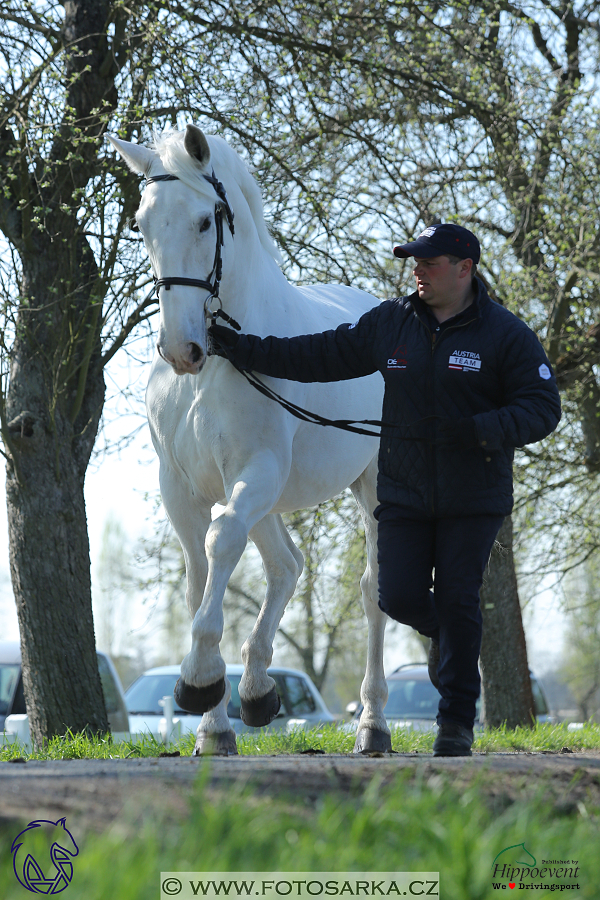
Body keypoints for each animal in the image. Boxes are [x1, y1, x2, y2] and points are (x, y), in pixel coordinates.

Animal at [107, 125, 390, 752]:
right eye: (141, 222)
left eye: (204, 221)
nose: (179, 348)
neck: (219, 363)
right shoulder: (182, 488)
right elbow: (197, 576)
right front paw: (213, 723)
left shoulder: (255, 470)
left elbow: (221, 544)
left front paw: (198, 680)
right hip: (268, 501)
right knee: (286, 565)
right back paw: (258, 690)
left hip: (373, 489)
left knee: (372, 590)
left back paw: (373, 726)